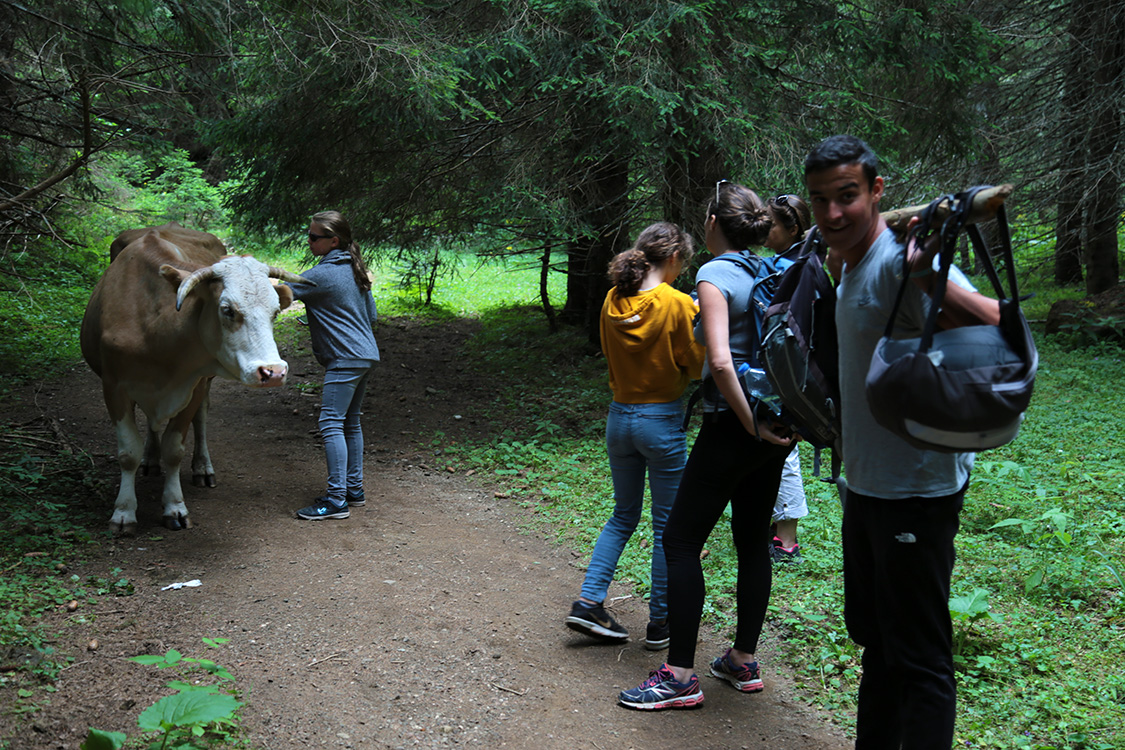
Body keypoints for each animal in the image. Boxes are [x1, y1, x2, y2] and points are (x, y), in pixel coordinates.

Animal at [81, 222, 312, 532]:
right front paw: (124, 511)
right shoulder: (113, 386)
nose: (273, 372)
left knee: (200, 420)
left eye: (275, 311)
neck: (156, 331)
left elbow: (174, 449)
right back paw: (150, 459)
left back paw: (202, 466)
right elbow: (128, 452)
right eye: (227, 310)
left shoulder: (193, 384)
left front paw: (174, 507)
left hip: (205, 385)